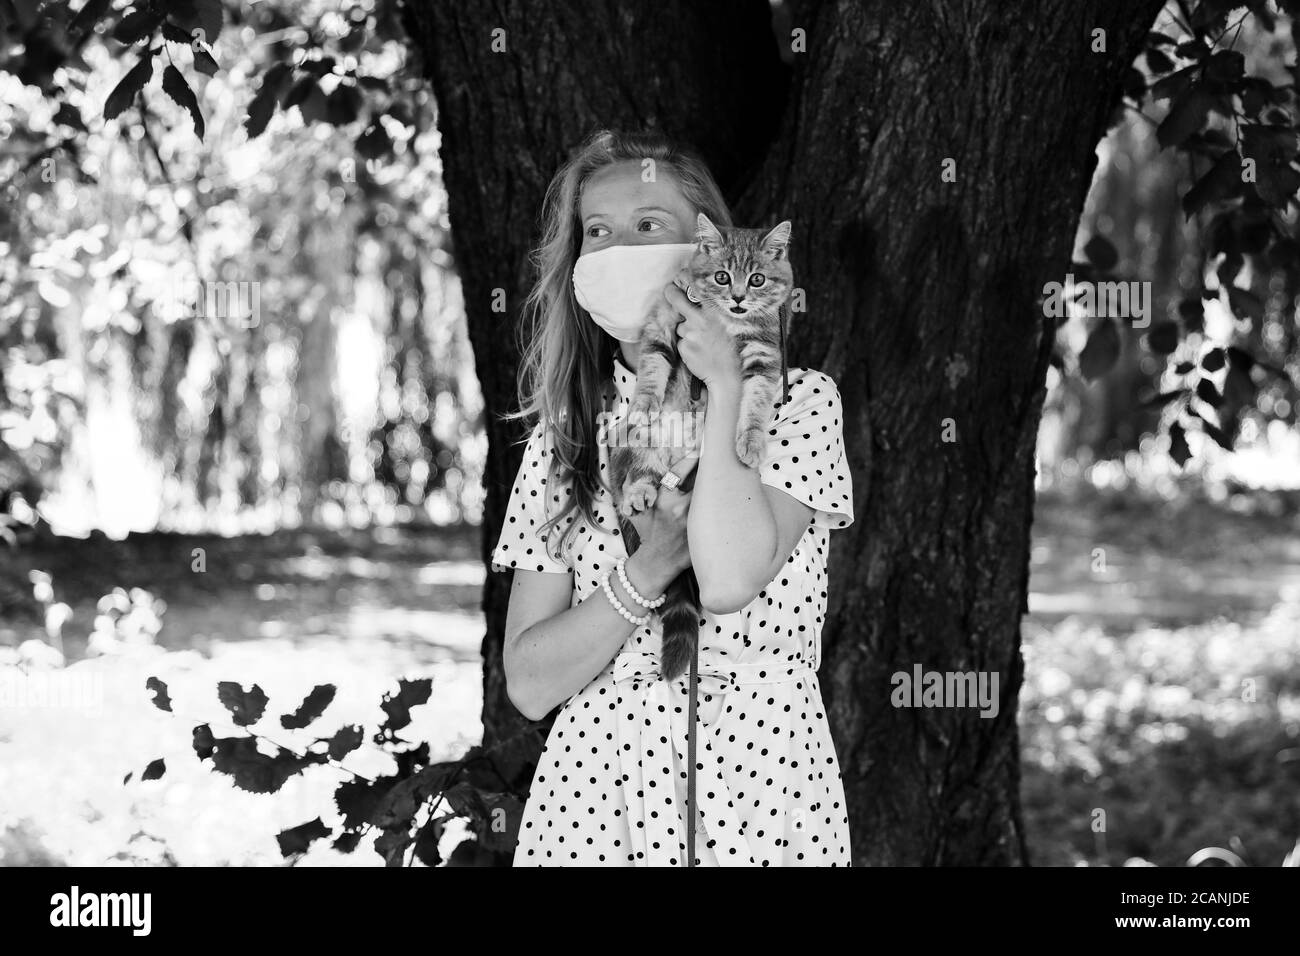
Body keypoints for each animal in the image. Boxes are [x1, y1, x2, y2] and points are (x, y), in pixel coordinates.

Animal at [608, 214, 790, 686]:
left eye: (758, 279)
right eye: (722, 276)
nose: (739, 297)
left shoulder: (765, 356)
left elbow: (757, 401)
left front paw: (750, 442)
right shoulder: (661, 323)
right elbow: (653, 365)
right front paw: (645, 402)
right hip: (633, 449)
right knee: (639, 471)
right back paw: (639, 492)